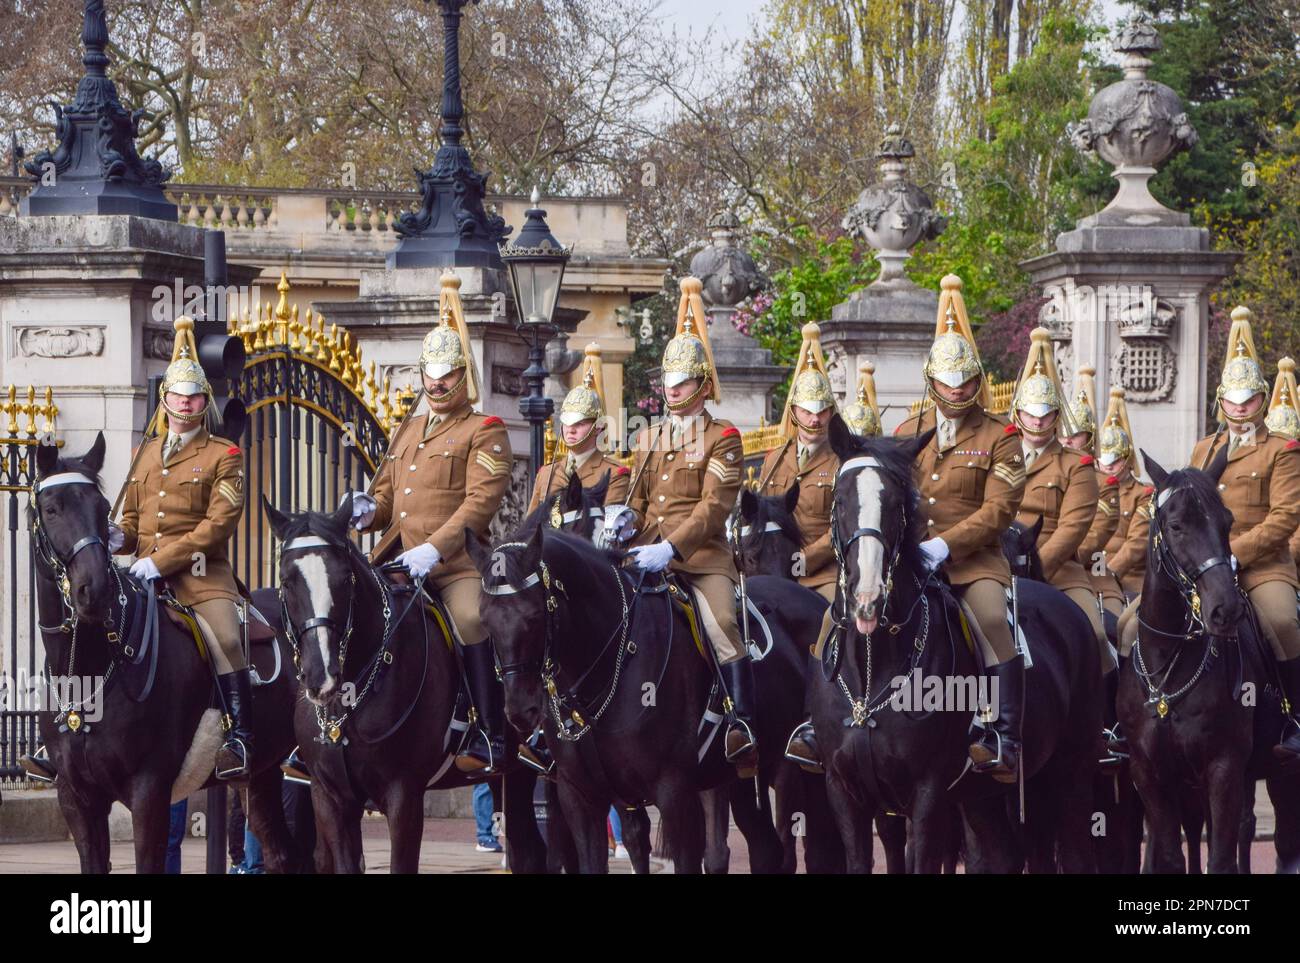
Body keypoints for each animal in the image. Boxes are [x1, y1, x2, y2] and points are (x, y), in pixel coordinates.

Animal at [30, 436, 299, 873]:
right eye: (51, 509)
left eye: (102, 509)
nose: (95, 589)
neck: (88, 669)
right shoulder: (76, 798)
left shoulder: (150, 791)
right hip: (261, 773)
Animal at [263, 496, 548, 873]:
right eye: (286, 581)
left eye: (344, 578)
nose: (321, 675)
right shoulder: (329, 796)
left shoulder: (404, 796)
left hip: (520, 770)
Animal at [816, 418, 1102, 873]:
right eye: (839, 499)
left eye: (897, 503)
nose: (867, 597)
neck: (872, 667)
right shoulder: (844, 792)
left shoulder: (928, 794)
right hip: (985, 796)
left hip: (1069, 776)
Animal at [1118, 449, 1300, 873]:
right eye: (1176, 525)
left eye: (1226, 521)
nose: (1225, 610)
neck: (1169, 669)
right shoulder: (1152, 776)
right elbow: (1173, 855)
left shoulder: (1224, 768)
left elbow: (1219, 859)